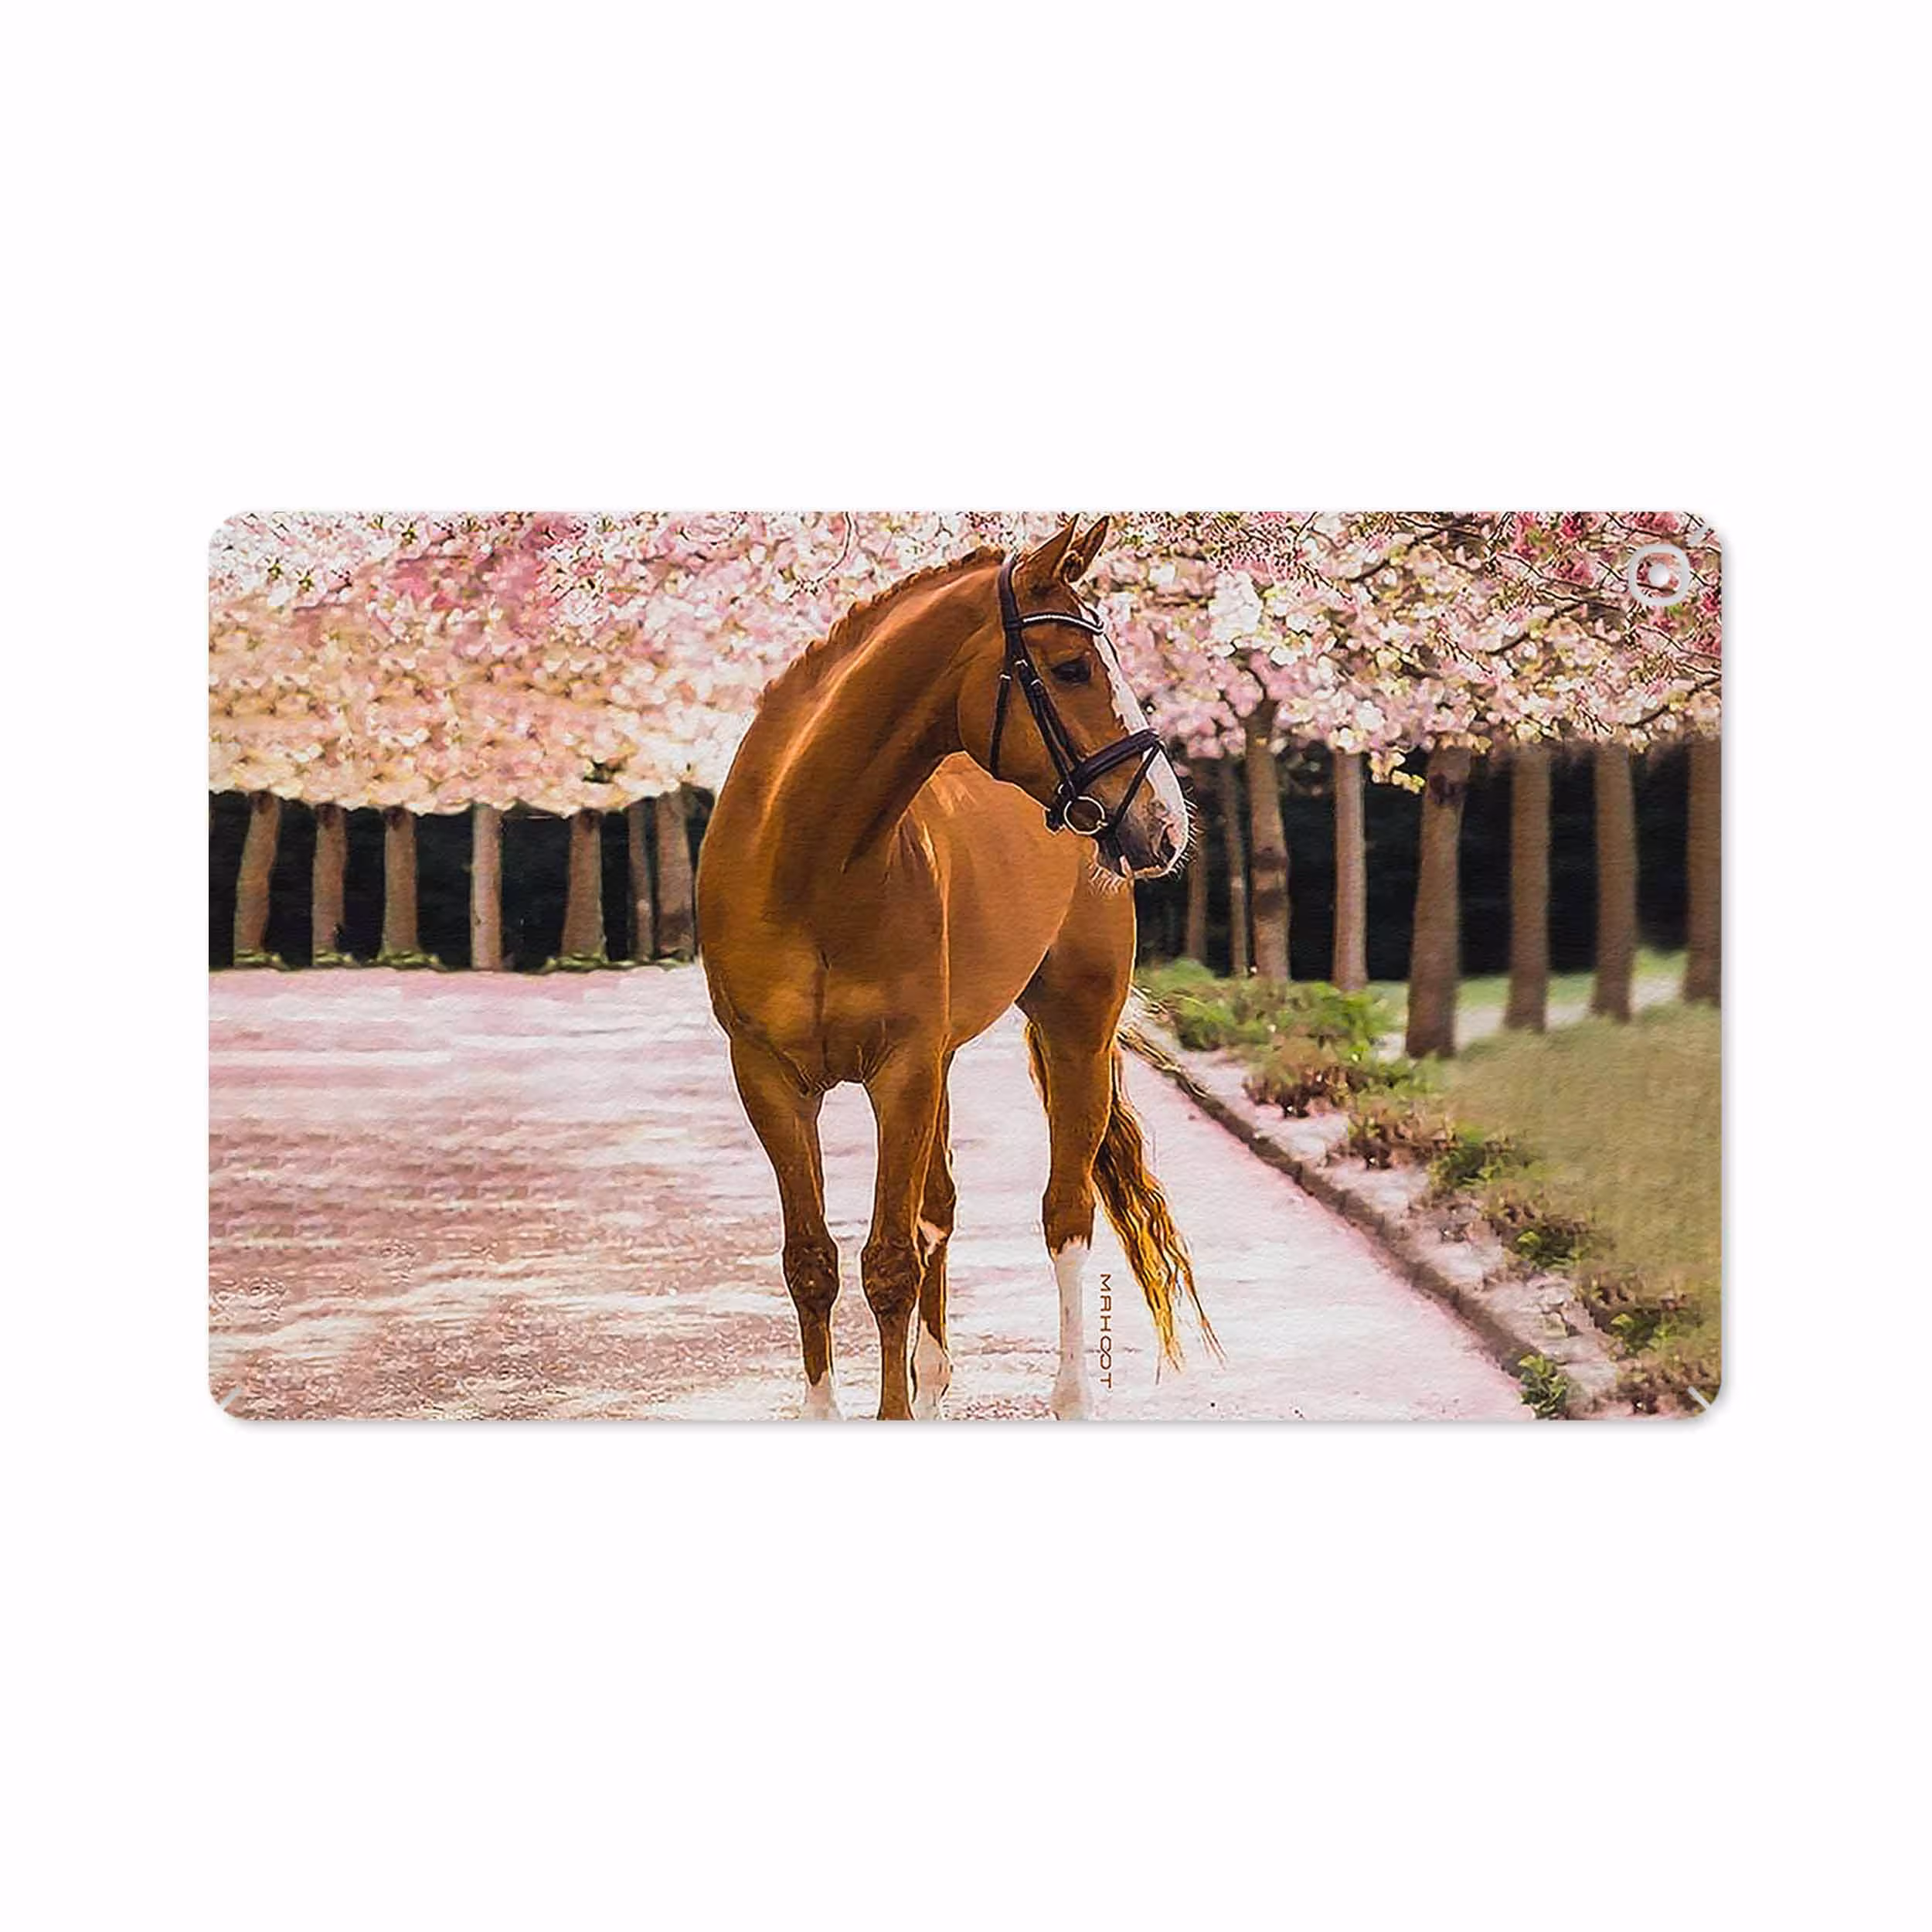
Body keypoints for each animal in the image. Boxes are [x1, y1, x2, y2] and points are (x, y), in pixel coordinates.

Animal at [697, 516, 1215, 1419]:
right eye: (1072, 667)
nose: (1164, 824)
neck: (807, 863)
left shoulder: (900, 1071)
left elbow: (888, 1263)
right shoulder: (768, 1078)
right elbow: (812, 1260)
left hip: (1074, 1034)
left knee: (1065, 1214)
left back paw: (1070, 1394)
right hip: (940, 1062)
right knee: (938, 1208)